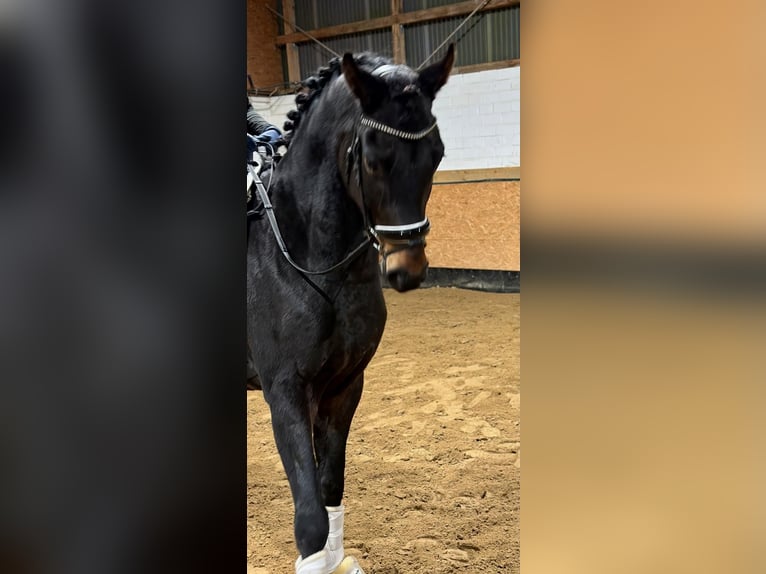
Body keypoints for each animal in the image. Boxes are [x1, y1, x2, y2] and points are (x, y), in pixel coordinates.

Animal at [246, 46, 452, 574]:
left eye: (437, 153)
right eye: (375, 159)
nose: (407, 268)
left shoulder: (344, 386)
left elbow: (330, 487)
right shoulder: (285, 391)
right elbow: (310, 516)